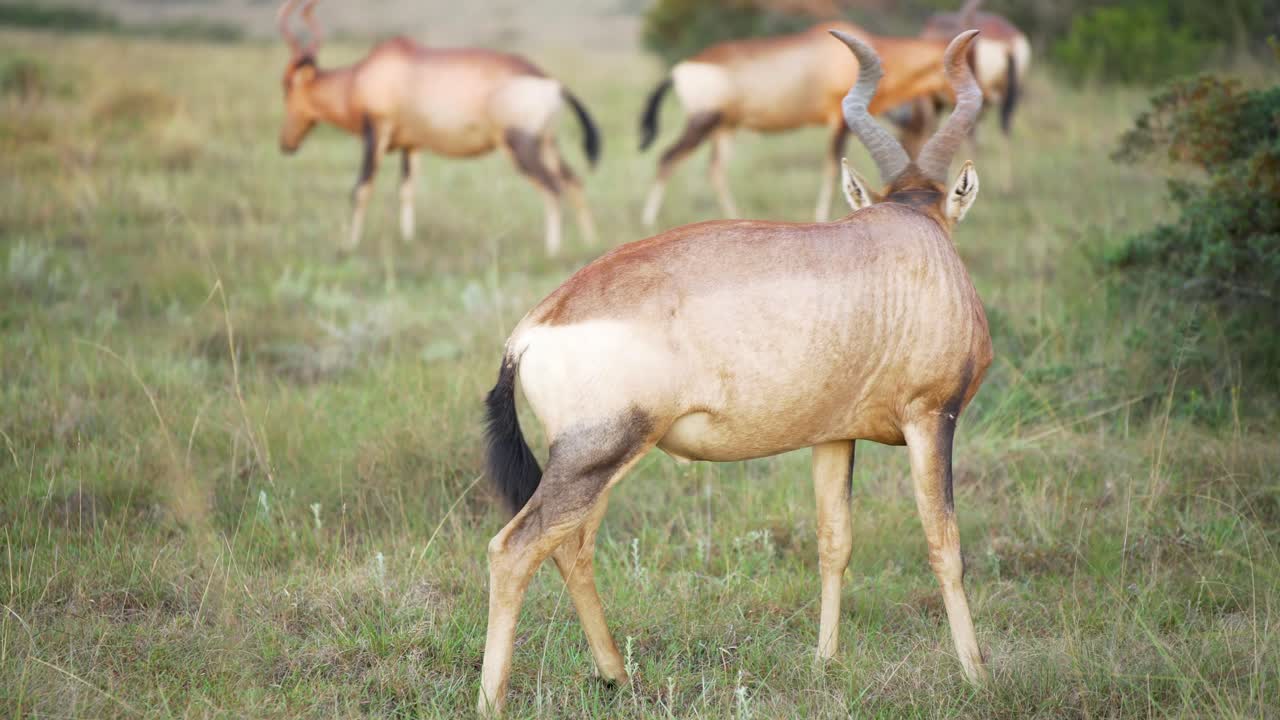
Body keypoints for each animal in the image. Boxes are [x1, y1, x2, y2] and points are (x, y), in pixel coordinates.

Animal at [276, 0, 600, 256]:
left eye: (287, 85)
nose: (286, 144)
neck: (365, 74)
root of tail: (551, 83)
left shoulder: (376, 132)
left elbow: (361, 188)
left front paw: (349, 245)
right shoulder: (411, 145)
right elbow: (407, 190)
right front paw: (407, 240)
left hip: (520, 145)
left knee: (553, 188)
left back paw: (552, 250)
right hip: (546, 144)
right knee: (574, 182)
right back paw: (589, 243)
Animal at [638, 21, 967, 226]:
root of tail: (681, 68)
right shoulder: (838, 120)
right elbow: (832, 168)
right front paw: (822, 216)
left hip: (724, 130)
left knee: (715, 170)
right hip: (702, 124)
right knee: (668, 158)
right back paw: (648, 220)